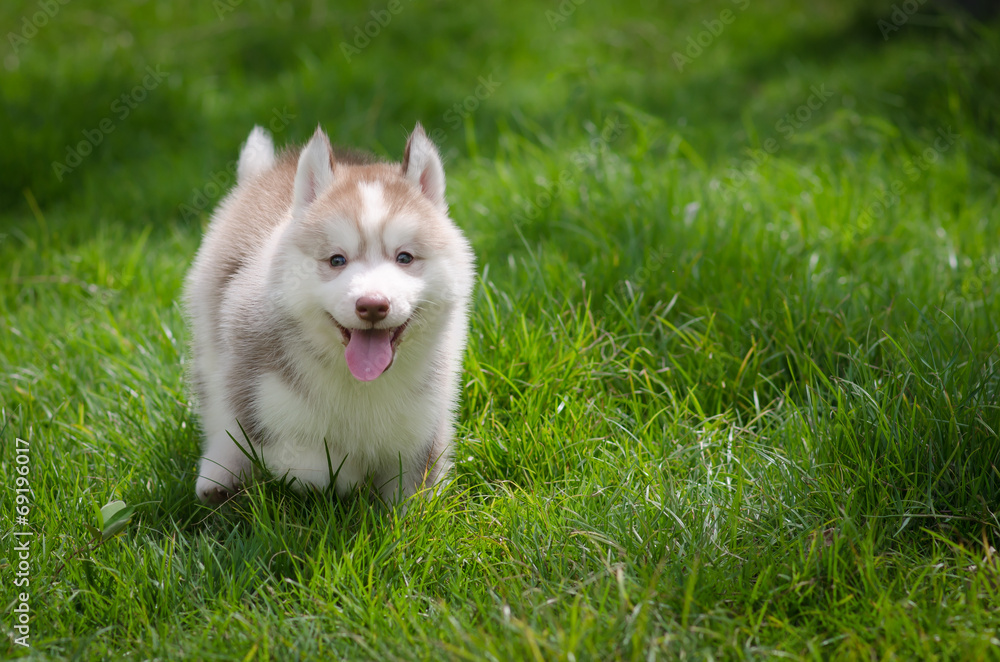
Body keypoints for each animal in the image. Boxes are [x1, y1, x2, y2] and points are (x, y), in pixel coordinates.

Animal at [187, 123, 476, 504]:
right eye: (337, 259)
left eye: (405, 257)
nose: (372, 304)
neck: (361, 385)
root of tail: (269, 169)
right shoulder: (260, 402)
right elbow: (312, 466)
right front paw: (349, 474)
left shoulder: (423, 423)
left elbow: (413, 494)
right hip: (211, 340)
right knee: (217, 410)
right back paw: (218, 474)